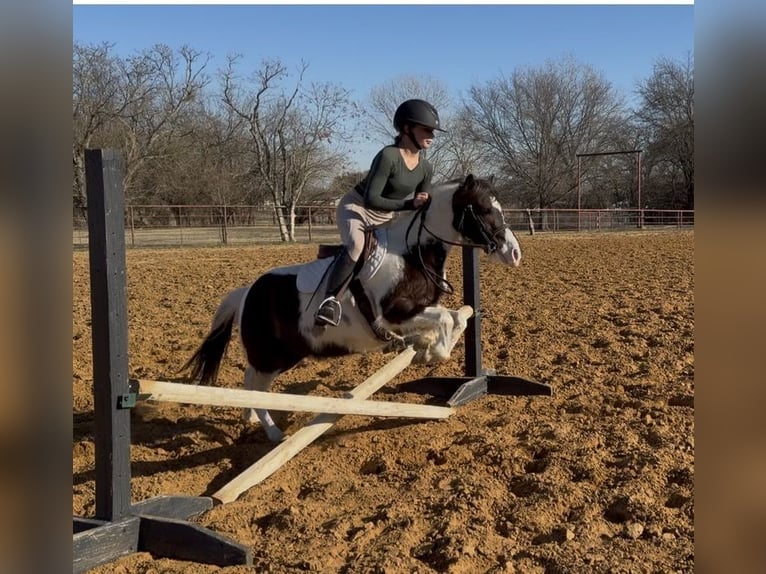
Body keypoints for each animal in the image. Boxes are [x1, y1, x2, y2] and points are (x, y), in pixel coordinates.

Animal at [183, 174, 522, 441]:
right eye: (485, 209)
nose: (514, 253)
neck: (413, 254)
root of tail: (247, 293)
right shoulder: (393, 313)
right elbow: (447, 321)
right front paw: (429, 355)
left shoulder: (418, 312)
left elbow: (455, 320)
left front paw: (424, 351)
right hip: (273, 355)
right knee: (255, 384)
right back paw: (274, 433)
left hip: (282, 355)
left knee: (252, 382)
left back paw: (250, 418)